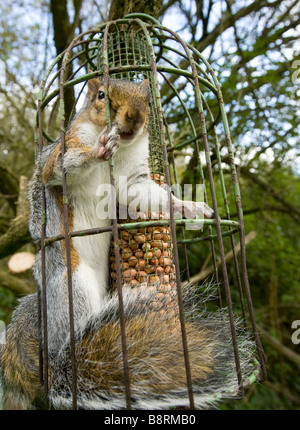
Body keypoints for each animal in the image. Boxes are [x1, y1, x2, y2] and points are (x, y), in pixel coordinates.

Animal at [0, 77, 244, 410]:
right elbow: (60, 168)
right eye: (101, 95)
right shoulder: (65, 148)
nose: (135, 117)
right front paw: (99, 148)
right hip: (71, 284)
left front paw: (187, 206)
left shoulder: (132, 180)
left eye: (149, 101)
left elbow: (143, 194)